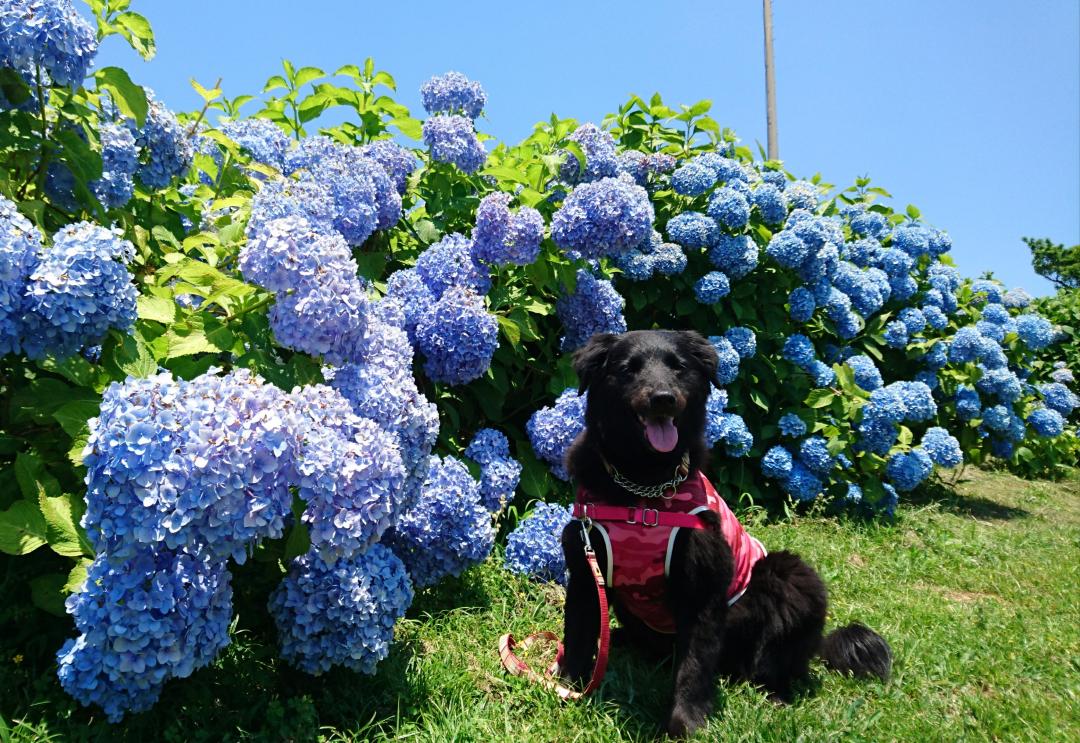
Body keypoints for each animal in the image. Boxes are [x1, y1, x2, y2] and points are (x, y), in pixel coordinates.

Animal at [561, 330, 889, 738]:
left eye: (678, 367)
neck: (643, 491)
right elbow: (577, 634)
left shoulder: (704, 587)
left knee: (771, 660)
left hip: (790, 575)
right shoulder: (585, 571)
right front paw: (567, 687)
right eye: (628, 369)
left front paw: (686, 723)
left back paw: (776, 694)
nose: (663, 398)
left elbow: (695, 665)